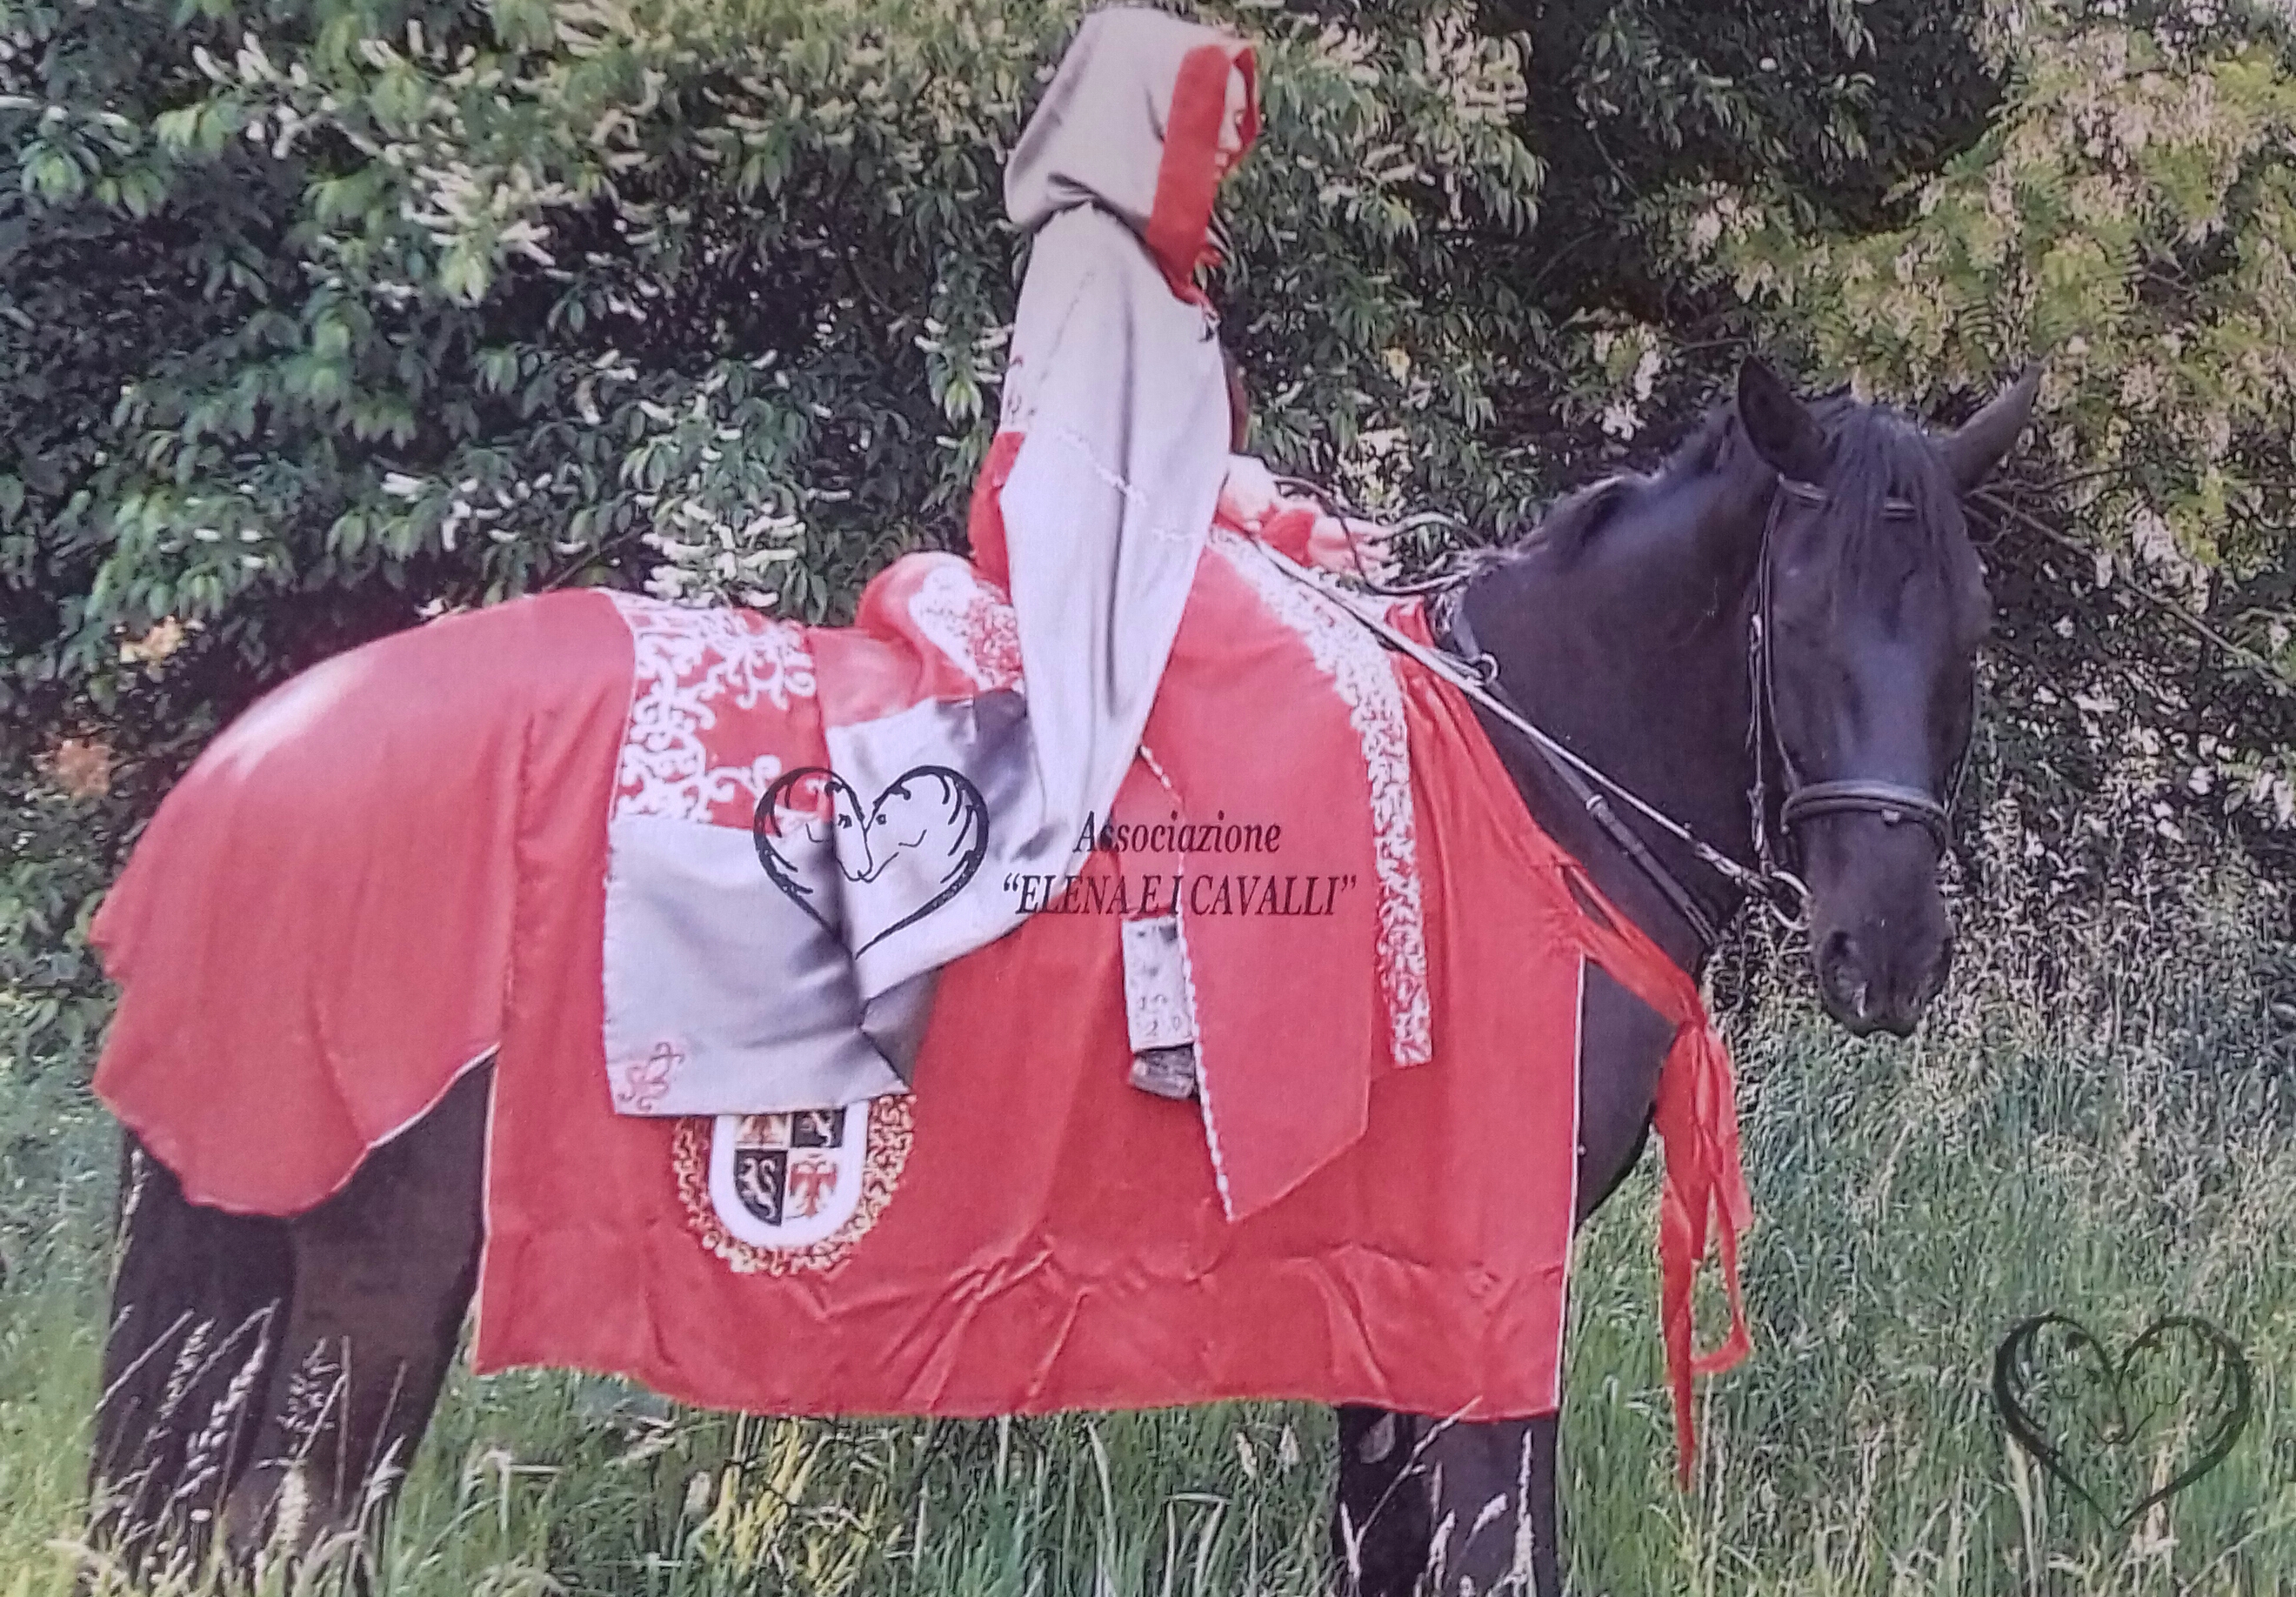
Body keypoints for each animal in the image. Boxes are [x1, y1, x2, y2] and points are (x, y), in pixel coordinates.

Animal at [84, 356, 2037, 1595]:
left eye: (1964, 623)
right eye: (1801, 607)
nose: (1889, 947)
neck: (1525, 784)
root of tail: (269, 755)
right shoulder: (1488, 1288)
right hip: (380, 1272)